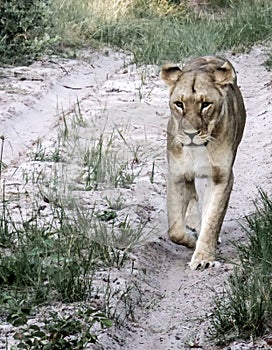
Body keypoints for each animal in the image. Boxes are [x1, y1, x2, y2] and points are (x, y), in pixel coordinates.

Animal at [160, 56, 248, 270]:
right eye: (179, 104)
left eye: (206, 104)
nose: (190, 134)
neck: (197, 149)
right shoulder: (175, 175)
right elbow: (175, 229)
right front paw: (191, 239)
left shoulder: (222, 177)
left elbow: (213, 219)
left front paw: (203, 258)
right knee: (192, 192)